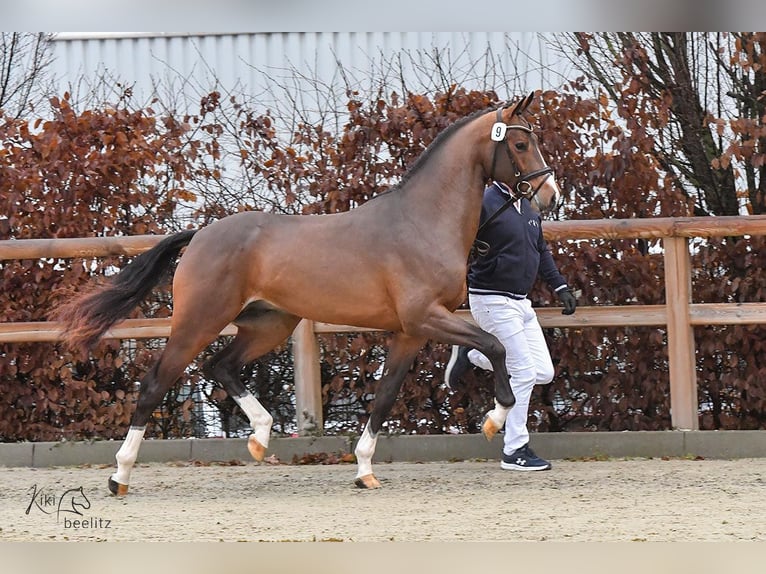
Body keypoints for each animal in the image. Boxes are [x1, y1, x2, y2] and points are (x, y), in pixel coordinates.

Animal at [52, 92, 560, 498]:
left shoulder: (410, 332)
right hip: (199, 322)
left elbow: (385, 396)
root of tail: (200, 235)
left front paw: (364, 470)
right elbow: (494, 346)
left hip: (269, 324)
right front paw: (494, 419)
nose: (549, 196)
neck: (422, 221)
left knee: (221, 366)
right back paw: (120, 476)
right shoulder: (425, 318)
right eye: (520, 144)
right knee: (156, 383)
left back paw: (260, 437)